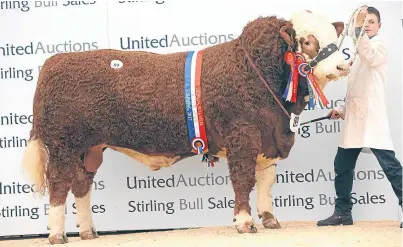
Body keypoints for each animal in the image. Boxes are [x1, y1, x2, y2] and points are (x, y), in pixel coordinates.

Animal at [22, 10, 350, 245]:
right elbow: (243, 180)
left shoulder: (268, 140)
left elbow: (266, 182)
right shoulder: (243, 136)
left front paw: (270, 219)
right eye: (307, 41)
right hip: (63, 145)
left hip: (90, 148)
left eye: (334, 39)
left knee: (81, 184)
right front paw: (244, 222)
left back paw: (88, 232)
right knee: (59, 184)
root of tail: (52, 64)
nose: (342, 66)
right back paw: (56, 235)